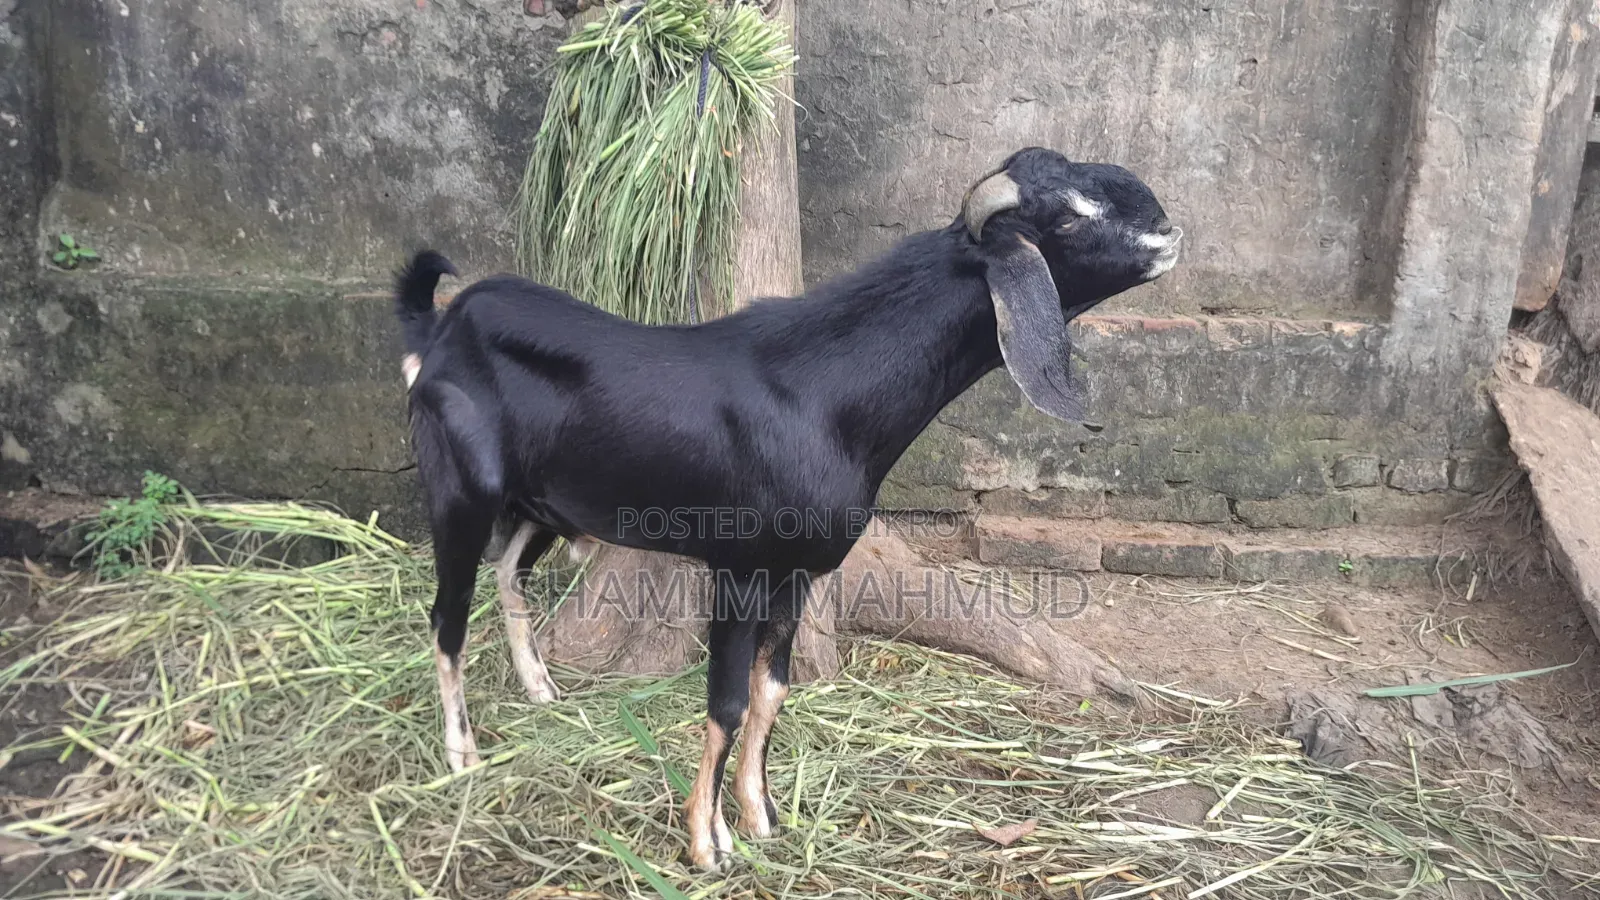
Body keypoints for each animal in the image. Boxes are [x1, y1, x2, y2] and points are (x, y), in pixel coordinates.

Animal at [394, 147, 1181, 869]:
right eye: (1067, 219)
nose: (1167, 230)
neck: (819, 394)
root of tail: (443, 329)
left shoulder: (797, 572)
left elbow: (773, 690)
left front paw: (763, 815)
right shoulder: (738, 569)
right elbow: (727, 702)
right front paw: (708, 844)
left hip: (544, 504)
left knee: (509, 574)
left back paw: (540, 688)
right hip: (461, 491)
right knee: (446, 616)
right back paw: (462, 753)